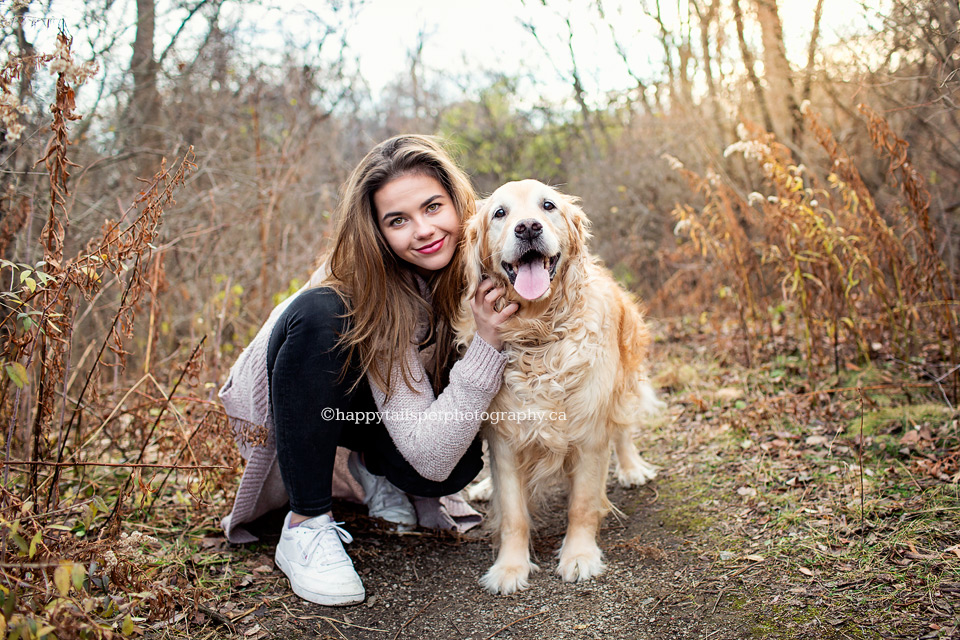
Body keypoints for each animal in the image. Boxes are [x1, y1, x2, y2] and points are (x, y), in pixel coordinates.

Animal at [456, 176, 664, 596]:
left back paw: (632, 468)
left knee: (624, 429)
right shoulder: (504, 437)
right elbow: (513, 513)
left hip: (622, 383)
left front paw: (579, 556)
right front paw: (510, 567)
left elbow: (582, 503)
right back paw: (484, 487)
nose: (527, 228)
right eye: (500, 213)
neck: (539, 333)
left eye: (548, 205)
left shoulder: (590, 431)